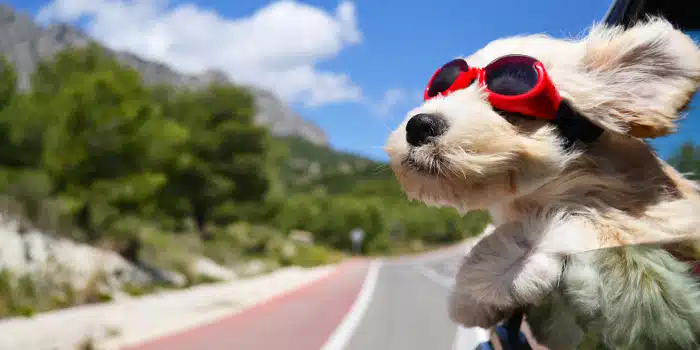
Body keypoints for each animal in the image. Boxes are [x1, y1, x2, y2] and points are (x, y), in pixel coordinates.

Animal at [386, 17, 700, 350]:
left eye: (510, 107)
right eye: (439, 89)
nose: (419, 125)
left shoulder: (662, 222)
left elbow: (593, 226)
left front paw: (485, 274)